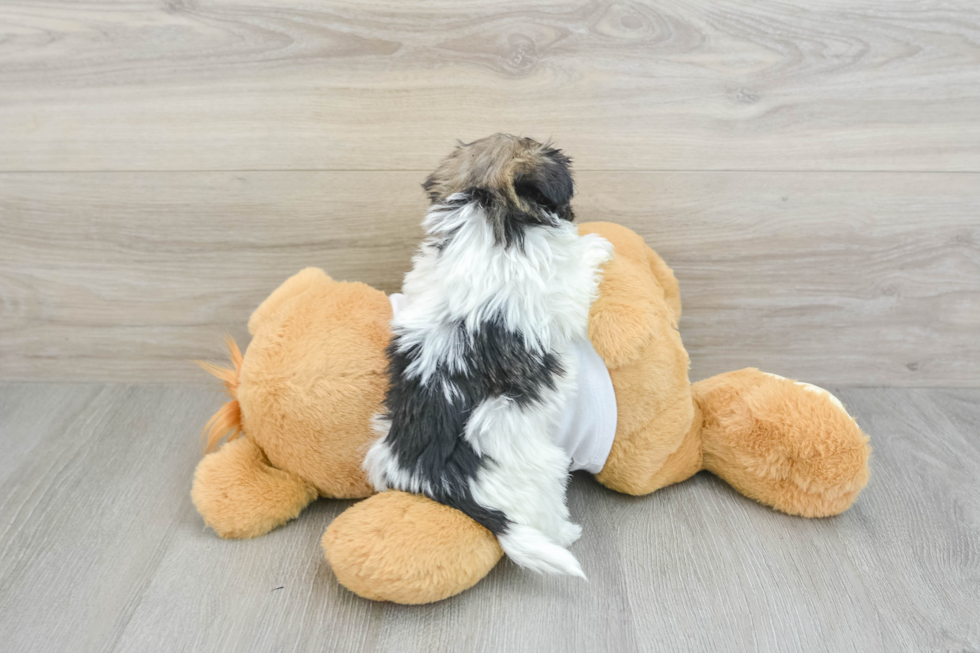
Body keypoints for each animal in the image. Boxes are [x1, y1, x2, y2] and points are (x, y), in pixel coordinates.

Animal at [366, 134, 612, 576]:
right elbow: (577, 273)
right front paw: (596, 246)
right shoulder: (554, 286)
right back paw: (566, 533)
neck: (483, 213)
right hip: (539, 472)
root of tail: (438, 480)